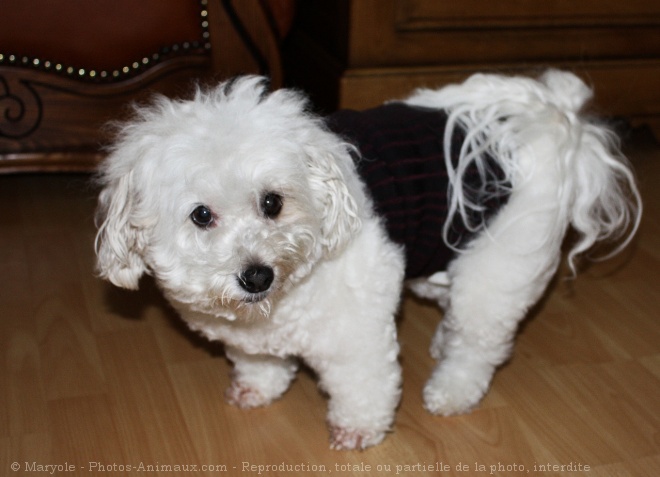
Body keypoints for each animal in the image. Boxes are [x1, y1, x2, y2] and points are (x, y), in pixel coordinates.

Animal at [95, 69, 640, 448]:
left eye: (272, 202)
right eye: (201, 215)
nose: (256, 275)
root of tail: (554, 120)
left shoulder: (355, 335)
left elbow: (364, 383)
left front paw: (358, 429)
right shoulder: (254, 338)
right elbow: (259, 362)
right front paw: (258, 387)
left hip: (499, 267)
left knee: (479, 344)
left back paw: (452, 389)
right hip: (444, 250)